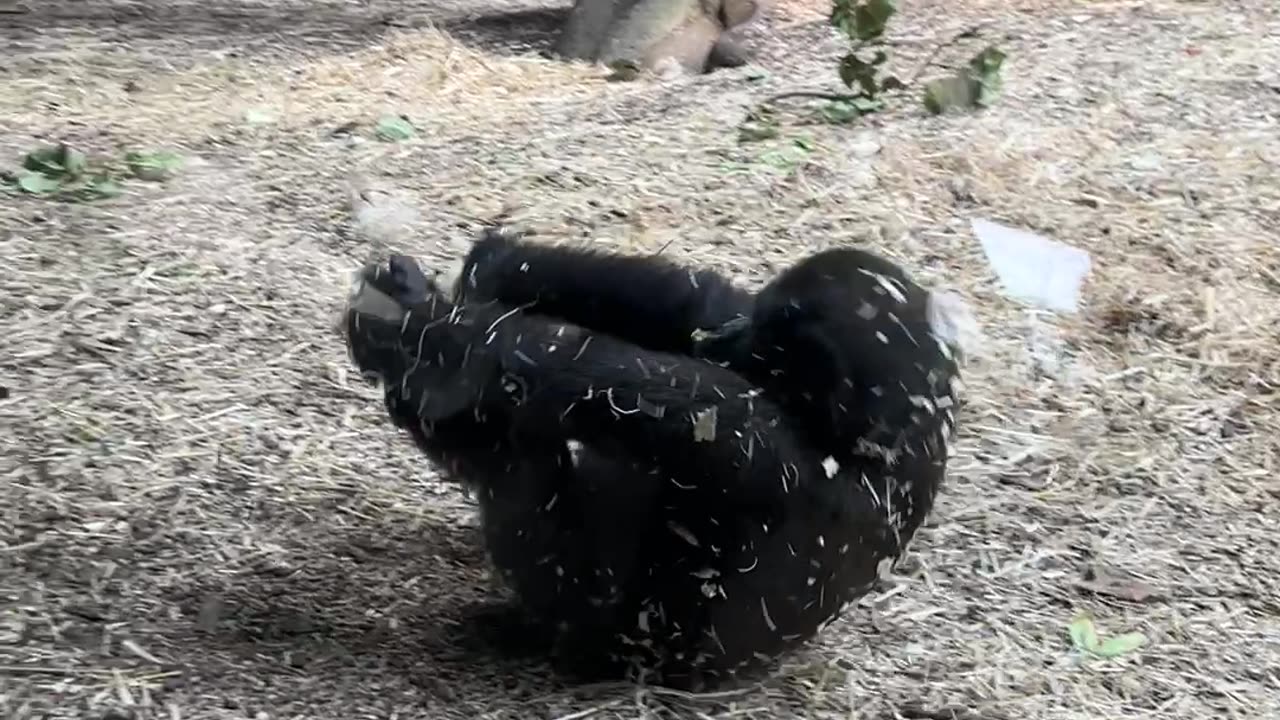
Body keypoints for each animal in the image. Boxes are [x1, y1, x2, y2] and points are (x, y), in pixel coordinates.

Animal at [341, 232, 967, 688]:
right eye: (759, 318)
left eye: (773, 340)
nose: (733, 334)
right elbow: (692, 305)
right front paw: (499, 267)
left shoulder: (773, 452)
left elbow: (612, 382)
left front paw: (434, 327)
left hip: (601, 643)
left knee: (524, 466)